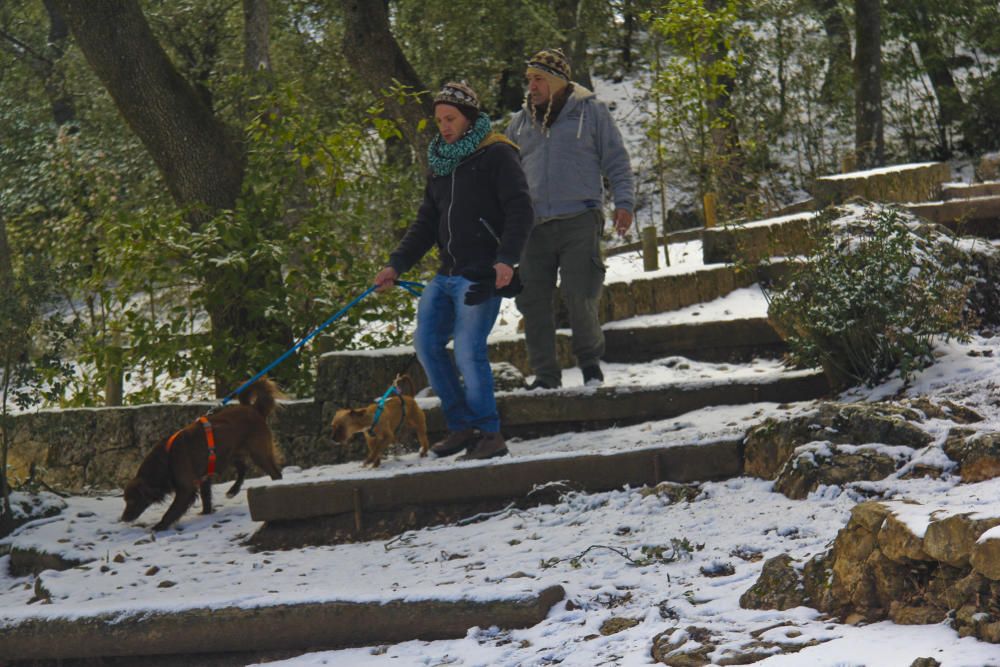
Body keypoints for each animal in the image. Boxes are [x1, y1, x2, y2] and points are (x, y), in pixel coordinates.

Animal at [124, 378, 286, 528]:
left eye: (131, 500)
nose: (123, 518)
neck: (167, 458)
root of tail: (253, 409)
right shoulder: (203, 477)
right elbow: (206, 497)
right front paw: (206, 513)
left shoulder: (186, 488)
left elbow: (172, 511)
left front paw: (160, 526)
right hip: (231, 453)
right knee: (243, 468)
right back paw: (233, 490)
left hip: (258, 452)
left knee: (275, 473)